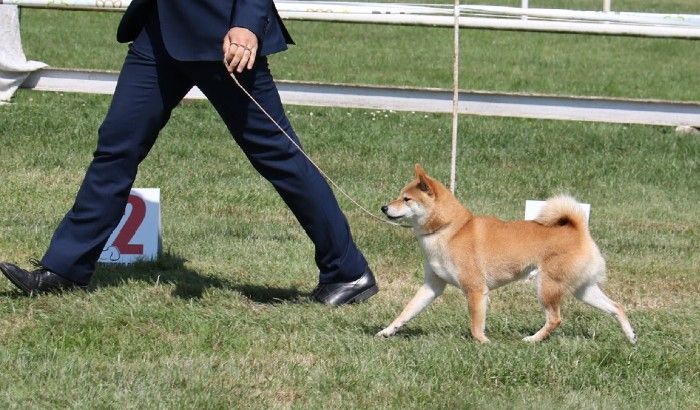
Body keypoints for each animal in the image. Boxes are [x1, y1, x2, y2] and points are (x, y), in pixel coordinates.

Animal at [380, 163, 636, 342]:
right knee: (616, 307)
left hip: (546, 286)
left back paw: (533, 339)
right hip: (583, 289)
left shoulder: (475, 290)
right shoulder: (432, 286)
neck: (450, 229)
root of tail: (578, 230)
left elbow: (475, 324)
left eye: (406, 199)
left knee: (555, 319)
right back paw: (631, 336)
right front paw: (388, 330)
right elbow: (407, 311)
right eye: (399, 195)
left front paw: (483, 342)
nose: (383, 207)